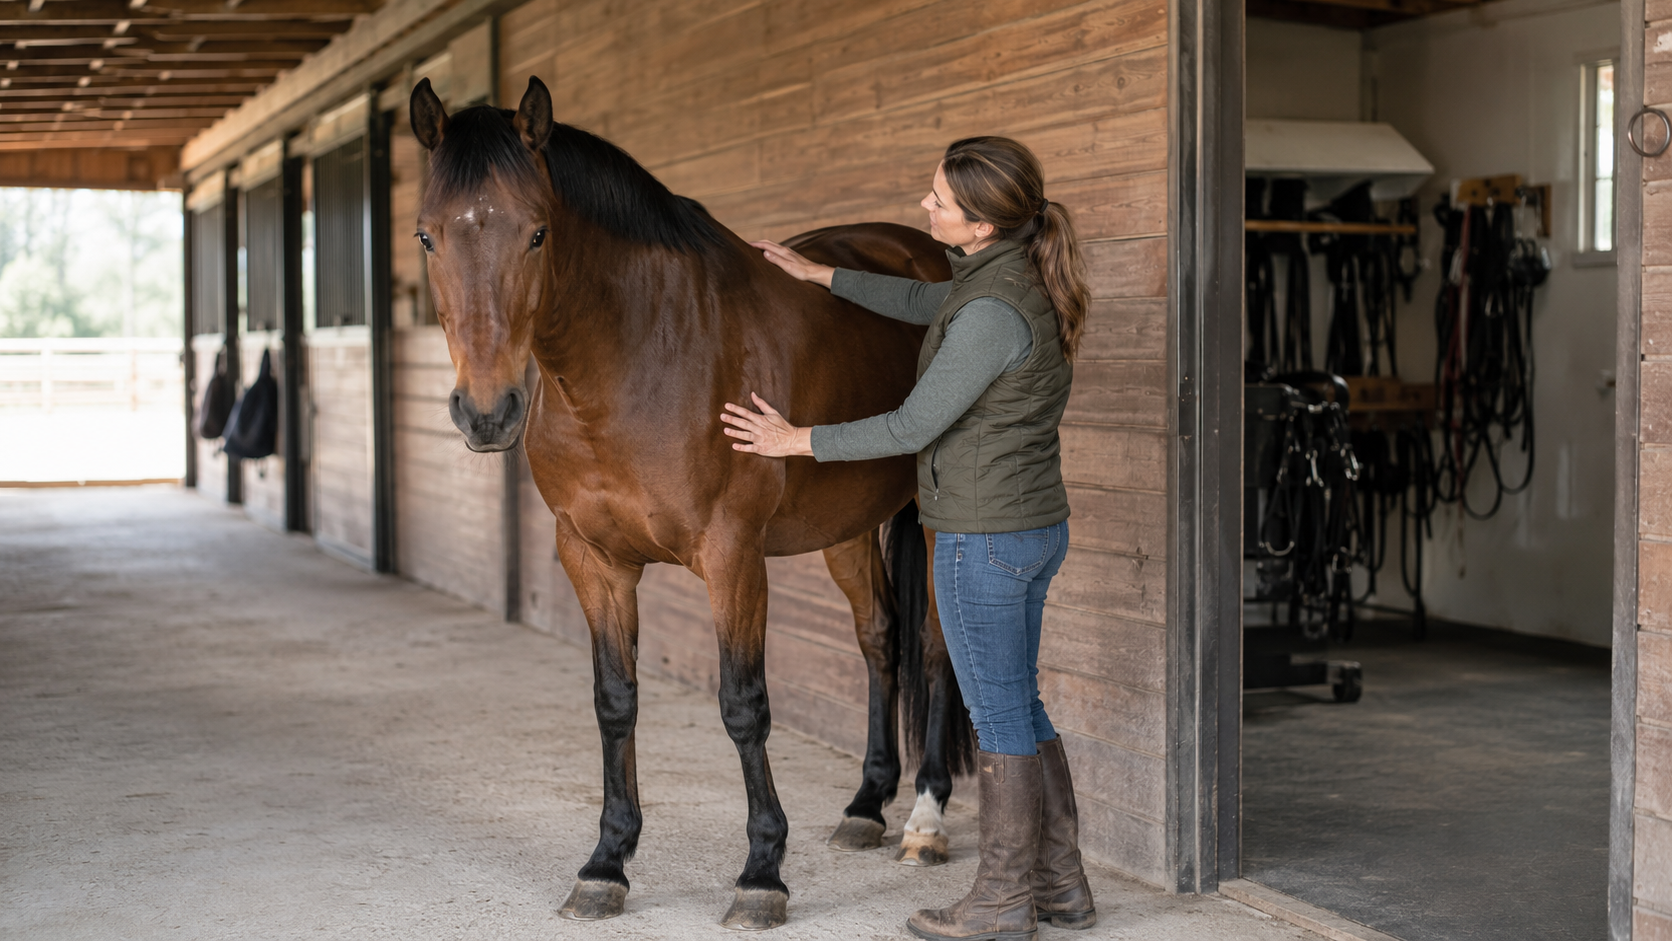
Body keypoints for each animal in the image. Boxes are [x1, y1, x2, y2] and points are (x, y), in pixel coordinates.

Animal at [408, 75, 975, 930]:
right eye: (426, 237)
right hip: (842, 526)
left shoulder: (732, 555)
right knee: (880, 638)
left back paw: (926, 818)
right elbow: (614, 700)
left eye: (537, 234)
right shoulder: (592, 557)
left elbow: (743, 705)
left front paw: (762, 872)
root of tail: (928, 252)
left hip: (937, 523)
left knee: (937, 649)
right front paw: (606, 861)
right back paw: (865, 804)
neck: (636, 358)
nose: (486, 412)